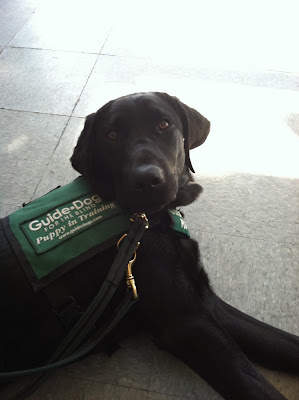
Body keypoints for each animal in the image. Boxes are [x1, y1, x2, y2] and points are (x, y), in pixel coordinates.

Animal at [0, 92, 298, 398]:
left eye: (164, 125)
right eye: (112, 135)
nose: (148, 179)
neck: (144, 219)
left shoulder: (204, 301)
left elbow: (285, 343)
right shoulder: (189, 325)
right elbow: (258, 385)